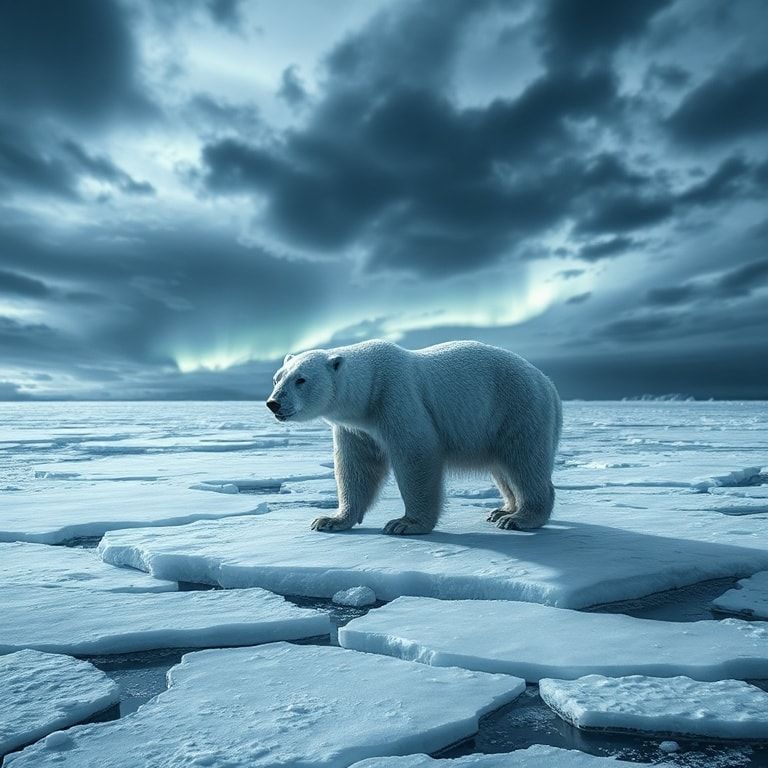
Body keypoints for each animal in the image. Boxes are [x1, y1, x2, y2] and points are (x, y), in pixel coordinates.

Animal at [266, 339, 562, 535]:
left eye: (301, 379)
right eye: (277, 378)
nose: (273, 403)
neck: (369, 388)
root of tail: (548, 383)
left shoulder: (397, 399)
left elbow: (416, 456)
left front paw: (405, 523)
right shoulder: (356, 428)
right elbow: (355, 467)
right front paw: (330, 520)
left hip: (517, 407)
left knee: (524, 460)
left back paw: (520, 518)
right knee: (503, 468)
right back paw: (503, 510)